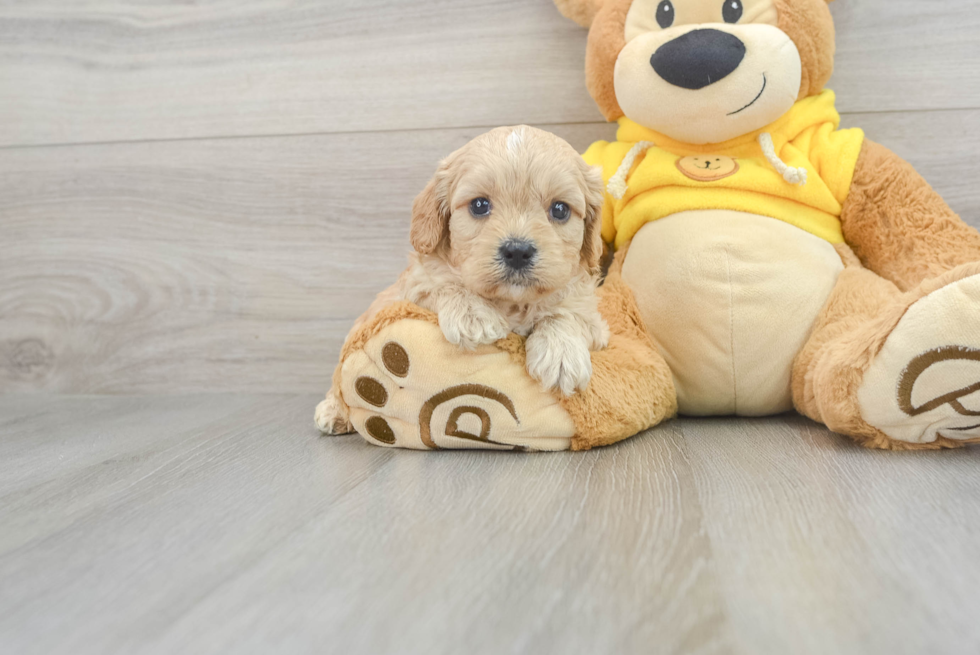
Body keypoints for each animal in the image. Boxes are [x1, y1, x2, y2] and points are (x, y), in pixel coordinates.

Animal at [318, 126, 608, 438]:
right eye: (479, 205)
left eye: (560, 209)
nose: (517, 251)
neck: (510, 302)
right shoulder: (415, 285)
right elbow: (444, 284)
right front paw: (474, 314)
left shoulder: (594, 320)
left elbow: (567, 313)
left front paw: (561, 353)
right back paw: (333, 411)